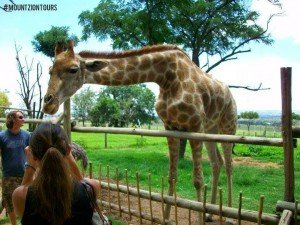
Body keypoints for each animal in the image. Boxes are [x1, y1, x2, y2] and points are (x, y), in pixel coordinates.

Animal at [43, 40, 238, 223]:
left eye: (73, 69)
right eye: (50, 70)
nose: (48, 104)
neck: (167, 77)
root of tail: (230, 93)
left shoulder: (195, 127)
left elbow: (198, 180)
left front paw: (198, 219)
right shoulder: (171, 128)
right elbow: (172, 176)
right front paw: (166, 219)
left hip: (227, 127)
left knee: (228, 164)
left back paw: (228, 216)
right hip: (210, 129)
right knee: (216, 162)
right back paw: (210, 214)